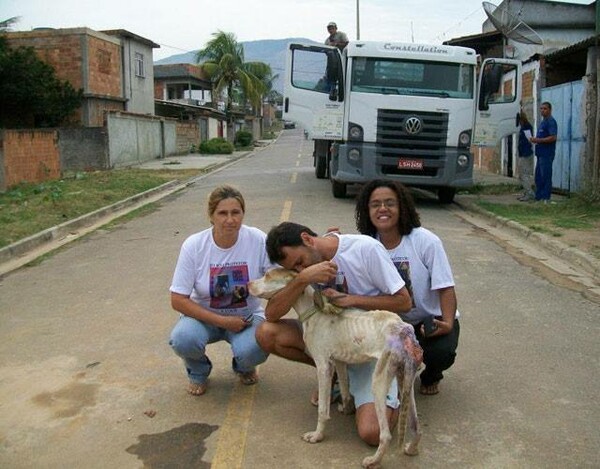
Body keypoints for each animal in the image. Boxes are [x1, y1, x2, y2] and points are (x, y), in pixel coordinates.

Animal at [247, 266, 422, 468]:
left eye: (267, 275)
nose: (247, 284)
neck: (315, 310)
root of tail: (404, 332)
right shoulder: (339, 361)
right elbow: (345, 389)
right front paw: (346, 408)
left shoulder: (323, 366)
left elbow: (323, 410)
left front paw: (317, 435)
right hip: (406, 379)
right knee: (416, 426)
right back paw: (411, 448)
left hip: (379, 382)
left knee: (385, 435)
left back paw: (373, 460)